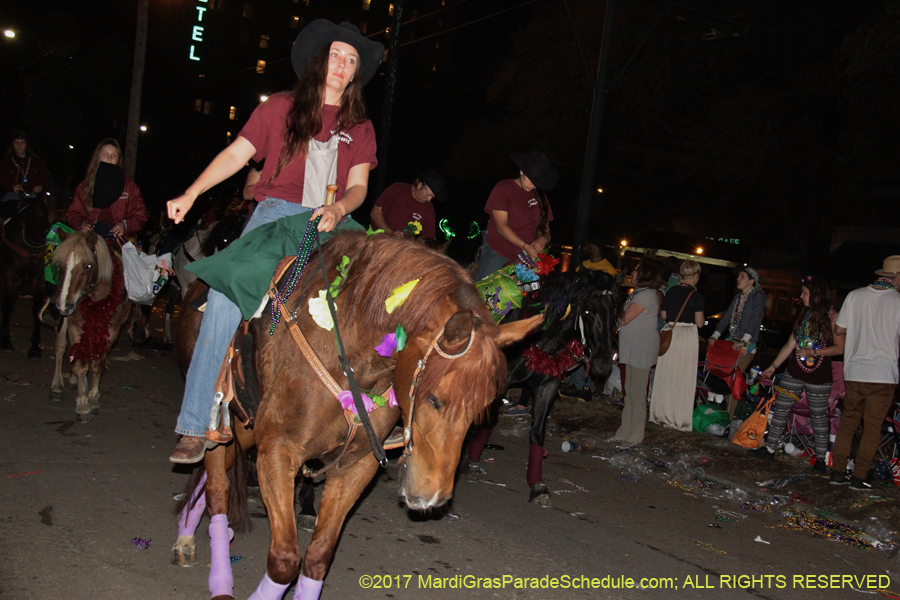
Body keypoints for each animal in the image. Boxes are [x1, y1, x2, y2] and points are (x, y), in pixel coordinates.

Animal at [50, 230, 132, 422]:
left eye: (88, 266)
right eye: (61, 264)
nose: (65, 304)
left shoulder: (113, 330)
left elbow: (96, 364)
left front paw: (93, 399)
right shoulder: (75, 325)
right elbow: (81, 363)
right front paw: (83, 405)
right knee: (61, 346)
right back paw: (58, 384)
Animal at [171, 233, 540, 600]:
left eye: (480, 411)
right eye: (434, 399)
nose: (432, 497)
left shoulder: (355, 466)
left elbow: (318, 557)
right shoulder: (278, 451)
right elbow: (285, 559)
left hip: (244, 425)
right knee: (217, 488)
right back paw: (202, 557)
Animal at [464, 268, 620, 506]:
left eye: (614, 312)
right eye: (587, 311)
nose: (602, 364)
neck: (540, 340)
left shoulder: (548, 385)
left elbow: (537, 433)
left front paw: (537, 485)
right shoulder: (501, 381)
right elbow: (489, 420)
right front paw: (471, 462)